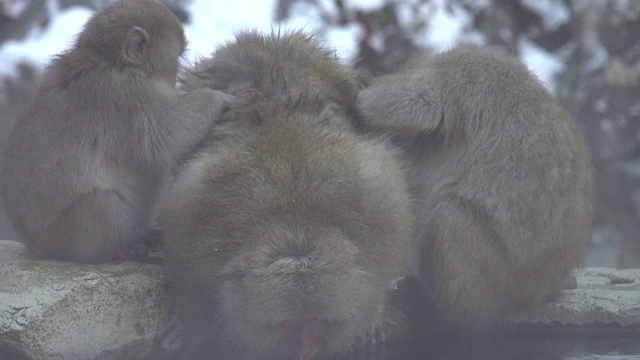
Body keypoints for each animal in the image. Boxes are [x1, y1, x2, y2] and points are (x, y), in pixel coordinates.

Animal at [0, 0, 230, 264]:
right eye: (178, 56)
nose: (175, 77)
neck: (112, 61)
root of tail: (36, 248)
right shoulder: (130, 96)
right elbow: (166, 136)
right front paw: (215, 99)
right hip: (62, 238)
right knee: (101, 203)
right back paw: (120, 250)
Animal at [158, 31, 412, 360]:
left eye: (318, 322)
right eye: (288, 326)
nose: (305, 350)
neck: (296, 220)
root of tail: (268, 41)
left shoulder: (379, 206)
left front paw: (373, 316)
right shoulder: (195, 215)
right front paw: (190, 321)